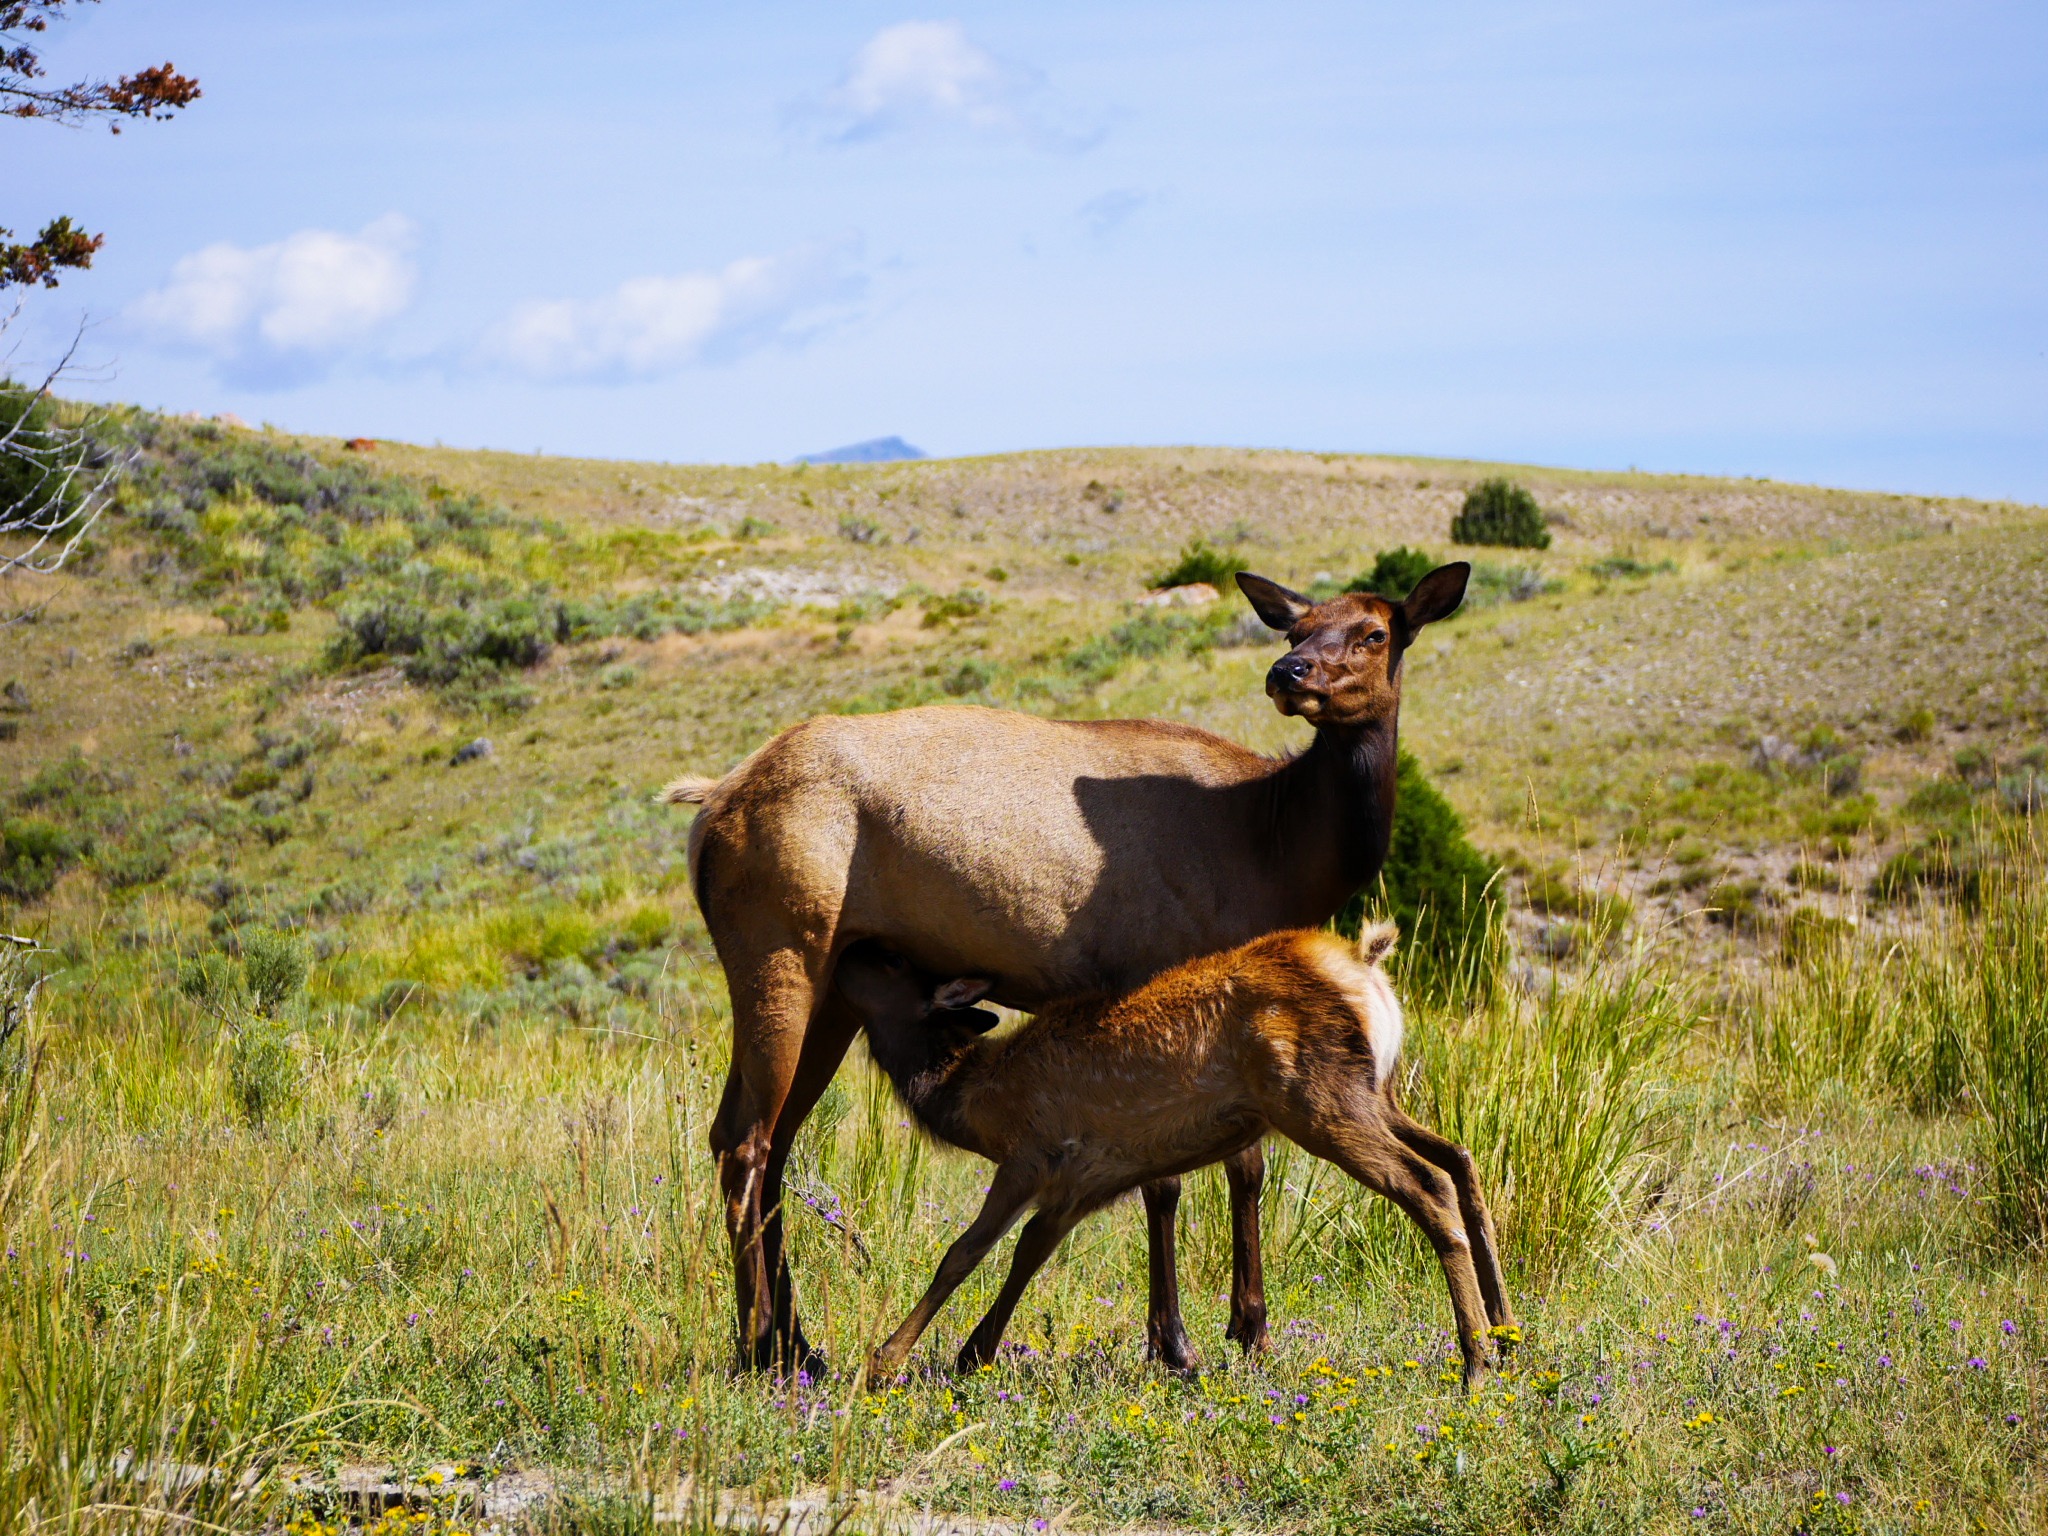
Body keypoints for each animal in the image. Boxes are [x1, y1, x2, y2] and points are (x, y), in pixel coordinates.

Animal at [671, 561, 1474, 1368]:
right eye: (1295, 630)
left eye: (1374, 633)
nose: (1288, 674)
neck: (1284, 853)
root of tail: (711, 804)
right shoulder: (1163, 971)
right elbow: (1205, 1173)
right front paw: (1213, 1334)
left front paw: (1206, 1331)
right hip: (780, 946)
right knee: (745, 1140)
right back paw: (762, 1346)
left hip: (833, 988)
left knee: (768, 1140)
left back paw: (796, 1345)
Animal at [835, 925, 1523, 1392]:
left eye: (893, 960)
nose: (851, 946)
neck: (972, 1104)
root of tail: (1367, 965)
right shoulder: (1083, 1183)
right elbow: (1029, 1253)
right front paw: (975, 1352)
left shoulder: (1031, 1156)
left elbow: (963, 1253)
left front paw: (885, 1361)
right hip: (1376, 1094)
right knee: (1460, 1156)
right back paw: (1508, 1334)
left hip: (1318, 1100)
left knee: (1427, 1183)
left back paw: (1475, 1363)